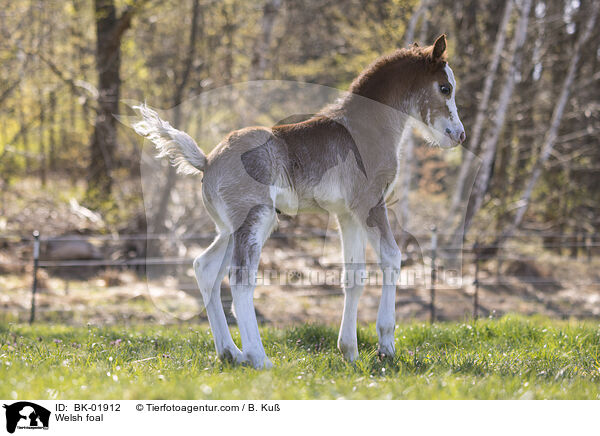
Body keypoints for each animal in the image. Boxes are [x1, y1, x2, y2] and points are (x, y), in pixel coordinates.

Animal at [134, 35, 466, 368]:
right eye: (444, 88)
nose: (459, 135)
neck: (366, 128)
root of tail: (206, 160)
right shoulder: (371, 203)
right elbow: (392, 258)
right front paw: (386, 347)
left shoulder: (347, 214)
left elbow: (353, 276)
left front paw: (350, 352)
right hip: (258, 220)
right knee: (240, 279)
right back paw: (258, 358)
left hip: (228, 230)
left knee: (205, 269)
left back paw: (231, 353)